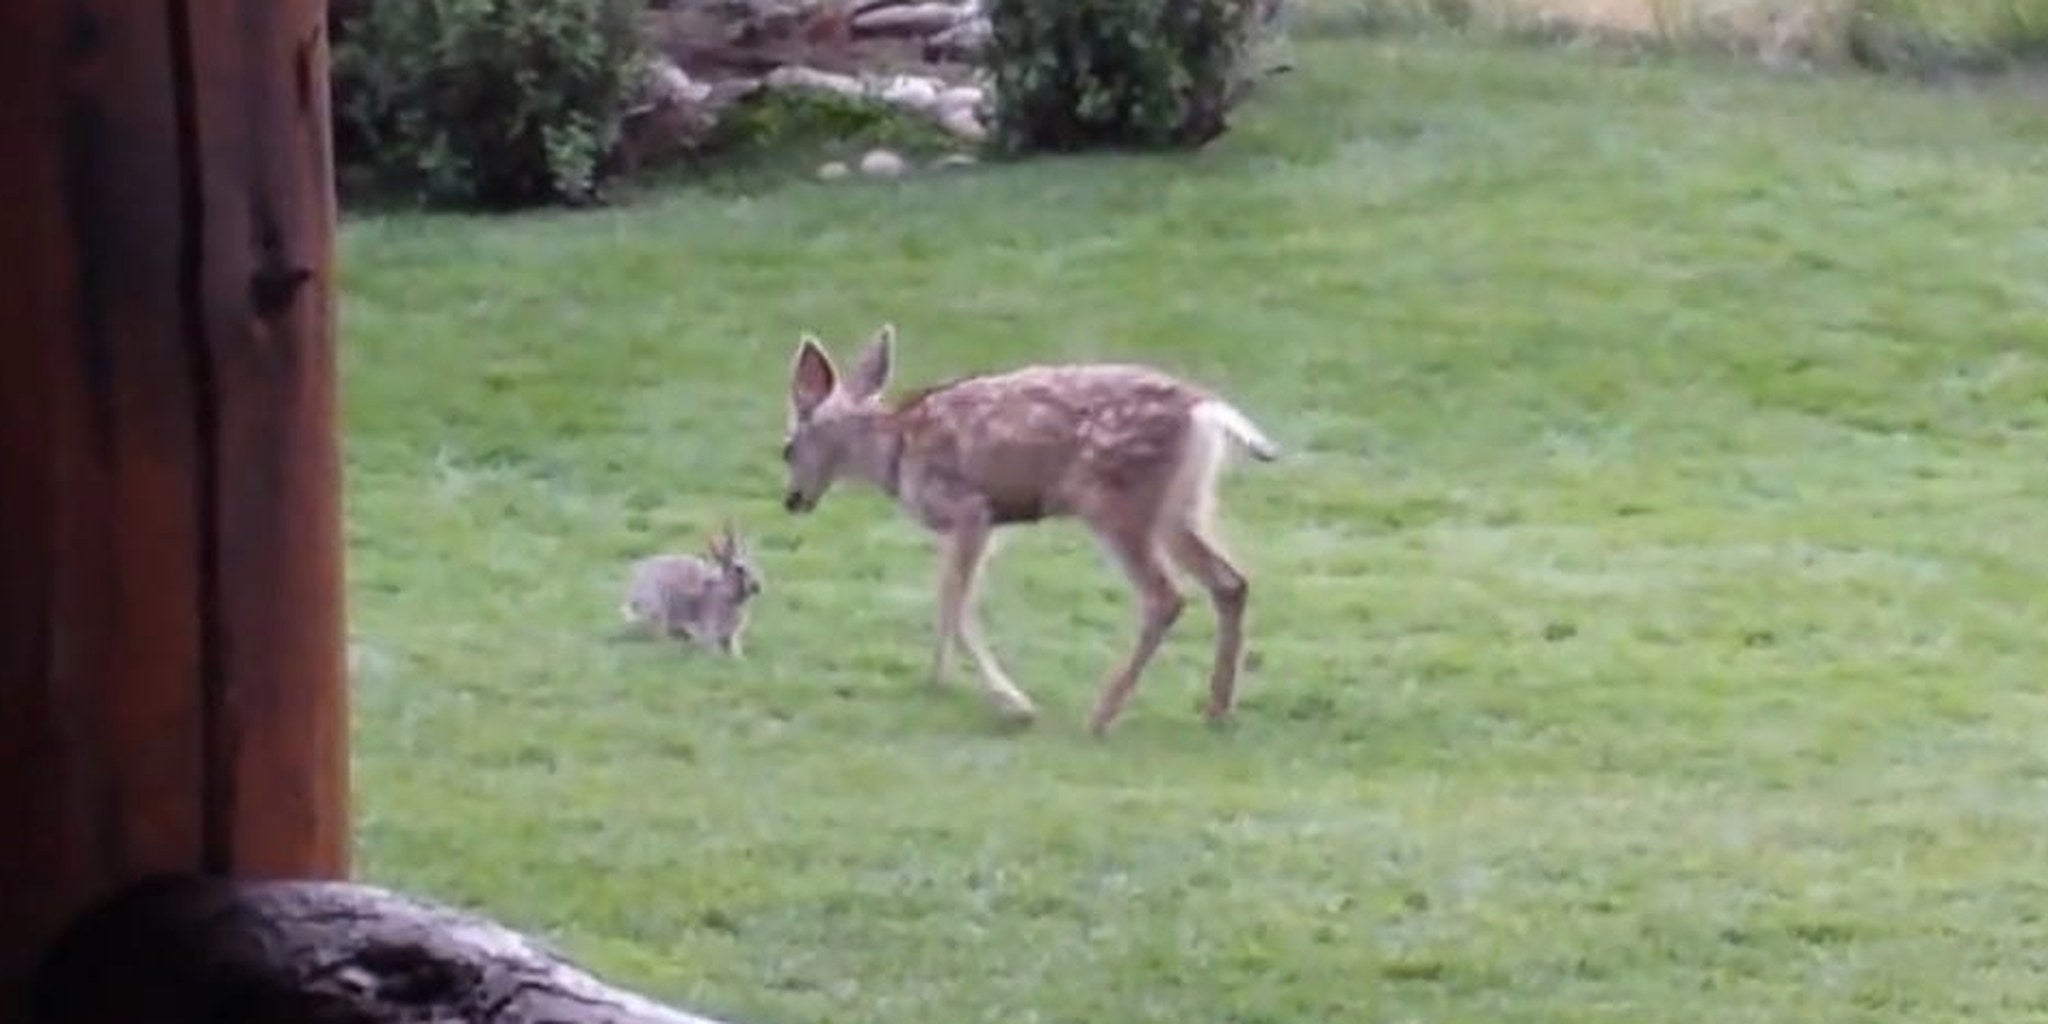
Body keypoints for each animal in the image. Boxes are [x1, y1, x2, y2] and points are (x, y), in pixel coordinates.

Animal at [619, 522, 762, 657]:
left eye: (754, 564)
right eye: (739, 569)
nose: (758, 586)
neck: (726, 593)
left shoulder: (732, 637)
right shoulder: (709, 635)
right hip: (657, 608)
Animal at [777, 323, 1282, 737]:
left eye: (787, 448)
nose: (793, 501)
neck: (895, 449)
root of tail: (1207, 410)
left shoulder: (970, 509)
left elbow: (956, 606)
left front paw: (1014, 705)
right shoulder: (970, 526)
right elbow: (944, 602)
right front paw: (937, 681)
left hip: (1115, 502)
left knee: (1166, 596)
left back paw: (1101, 716)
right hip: (1182, 506)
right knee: (1230, 581)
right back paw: (1216, 709)